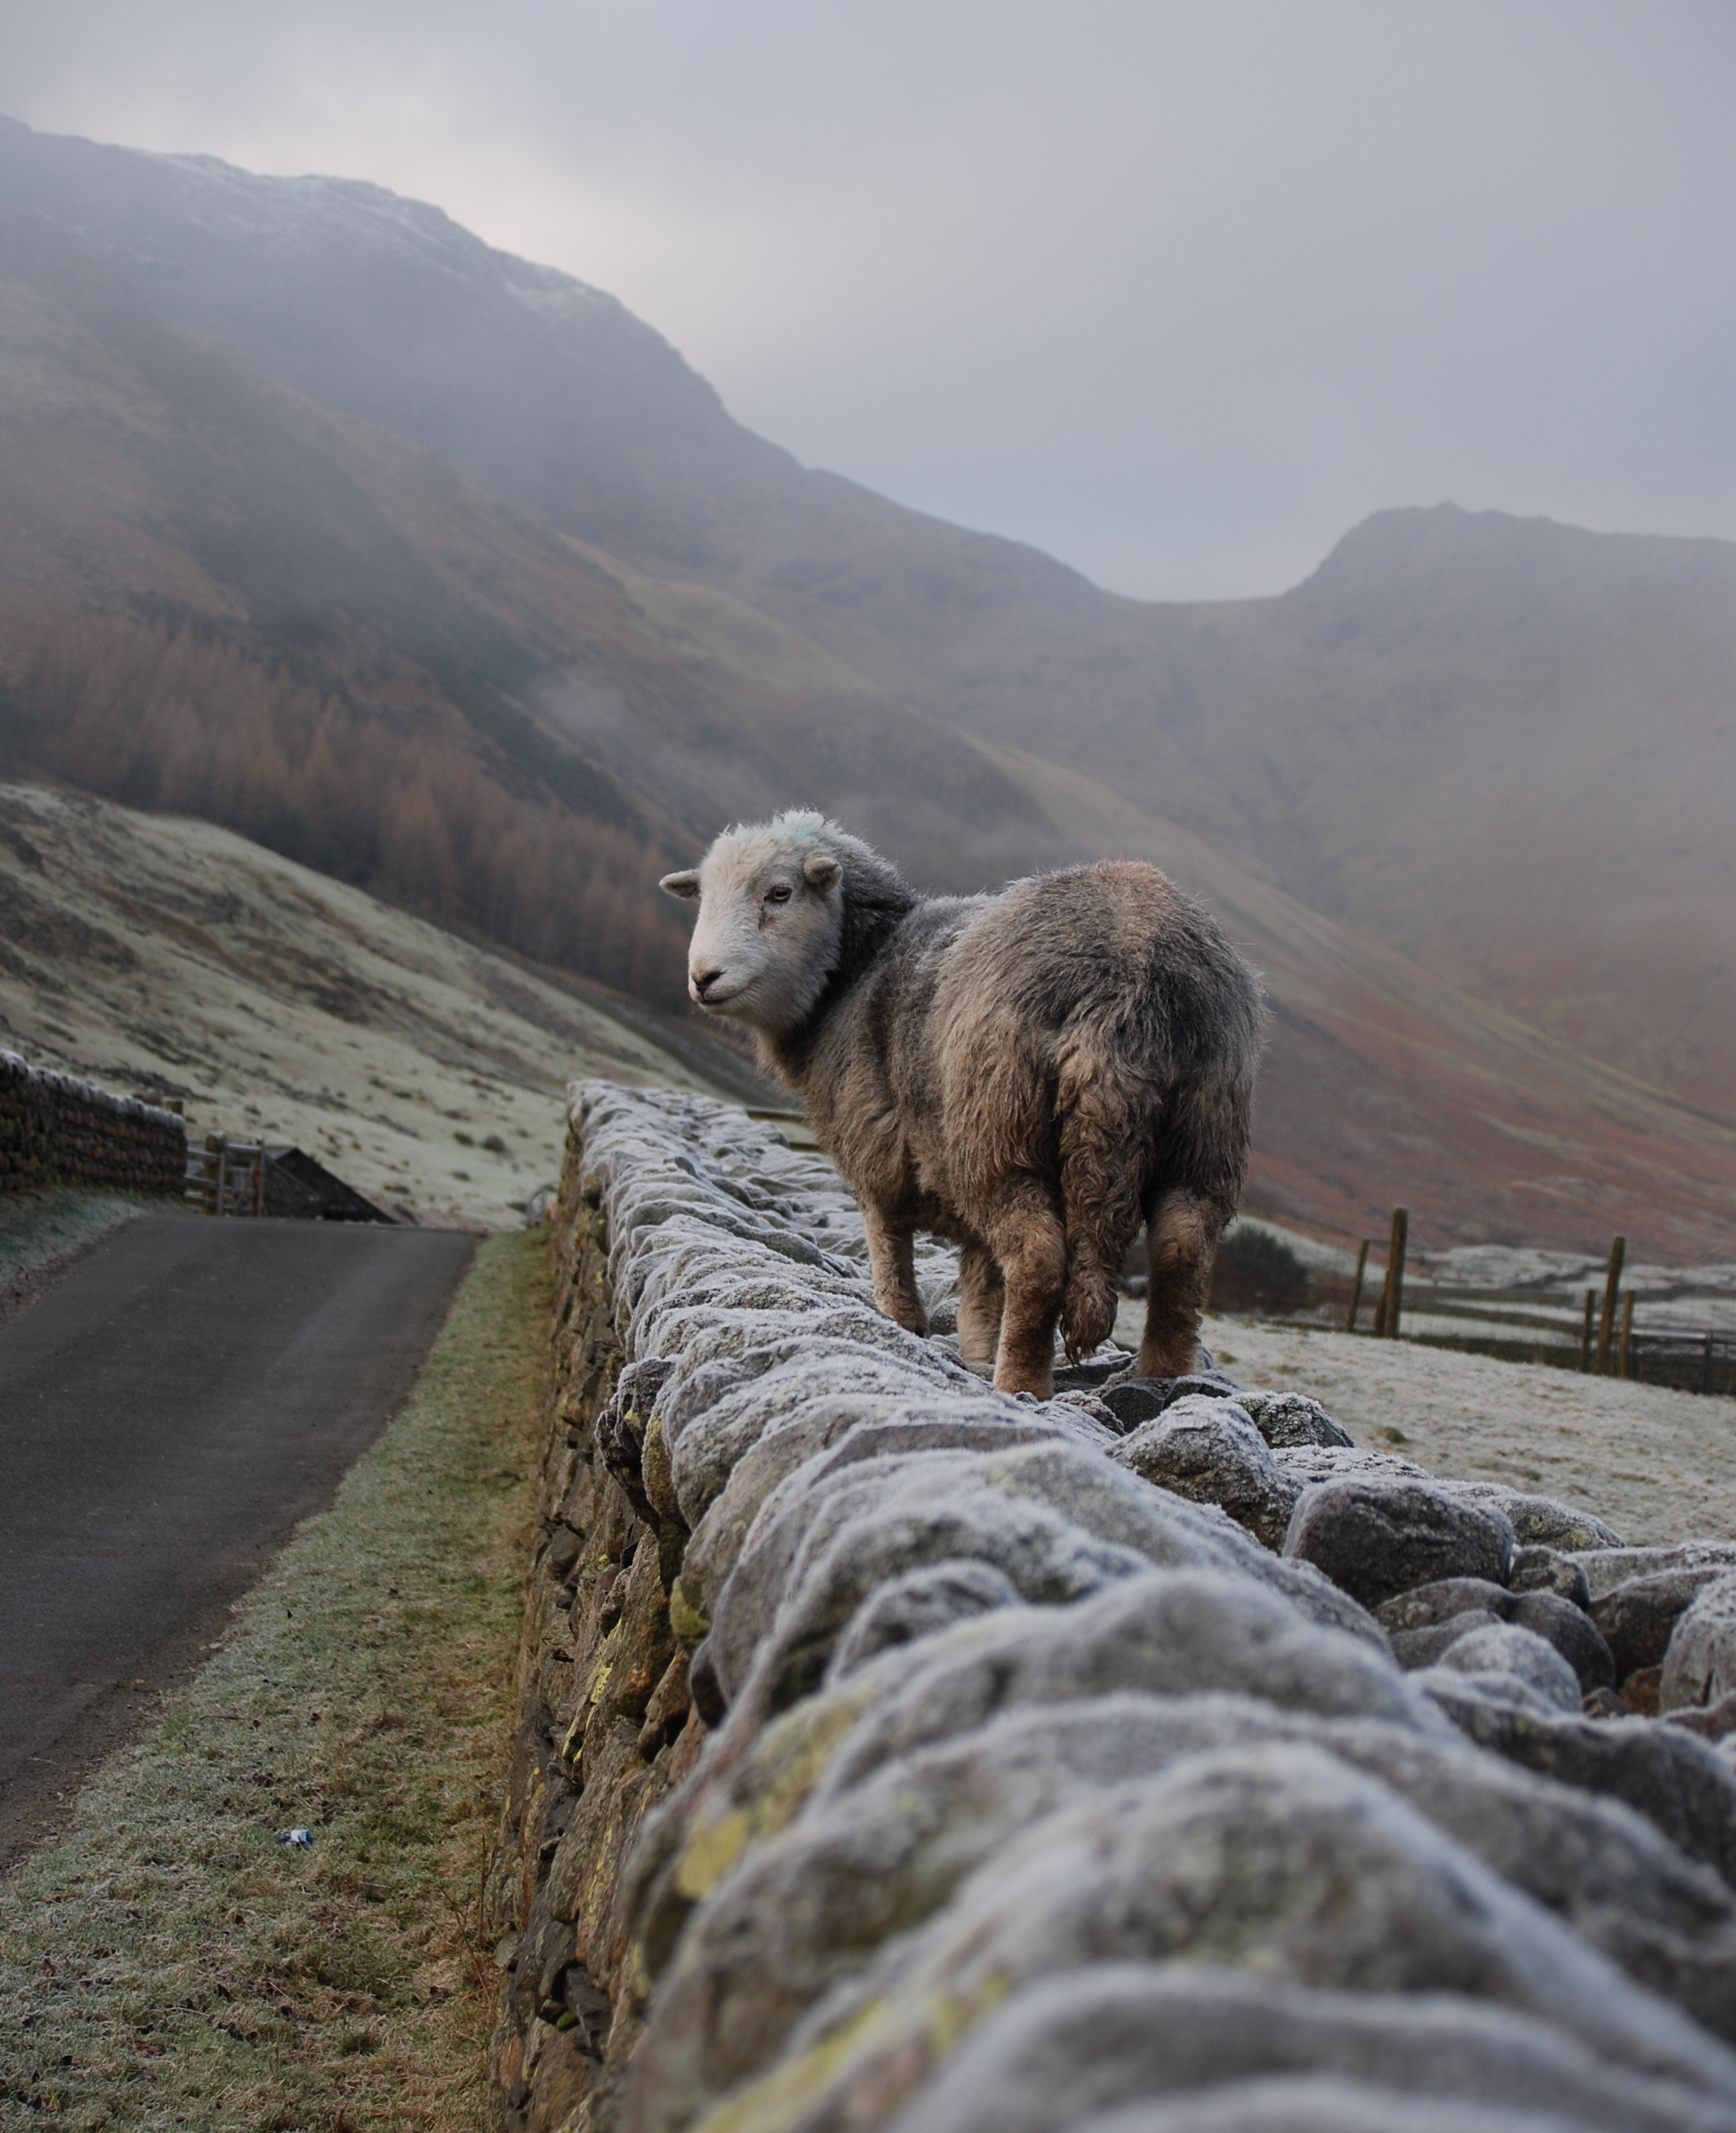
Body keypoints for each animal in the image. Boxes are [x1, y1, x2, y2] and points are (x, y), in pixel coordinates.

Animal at [661, 810, 1262, 1399]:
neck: (857, 971)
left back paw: (1020, 1383)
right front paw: (976, 1349)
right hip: (1205, 1128)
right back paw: (1162, 1374)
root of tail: (1129, 978)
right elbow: (981, 1285)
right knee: (1182, 1248)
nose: (703, 978)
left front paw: (904, 1324)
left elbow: (890, 1249)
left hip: (998, 1130)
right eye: (703, 897)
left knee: (1038, 1259)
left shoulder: (874, 1151)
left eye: (780, 893)